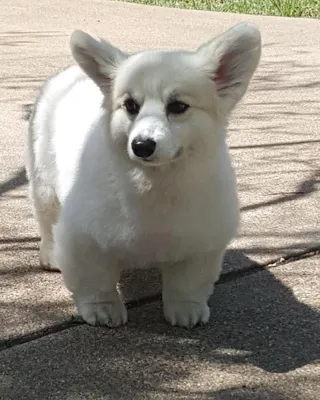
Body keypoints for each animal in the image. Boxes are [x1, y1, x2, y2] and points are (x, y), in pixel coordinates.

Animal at [26, 22, 262, 328]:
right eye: (130, 106)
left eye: (178, 107)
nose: (142, 145)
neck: (154, 183)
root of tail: (70, 72)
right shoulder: (84, 238)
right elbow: (95, 283)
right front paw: (103, 309)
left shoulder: (200, 242)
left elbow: (187, 284)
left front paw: (185, 309)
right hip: (43, 182)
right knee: (46, 218)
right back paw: (50, 253)